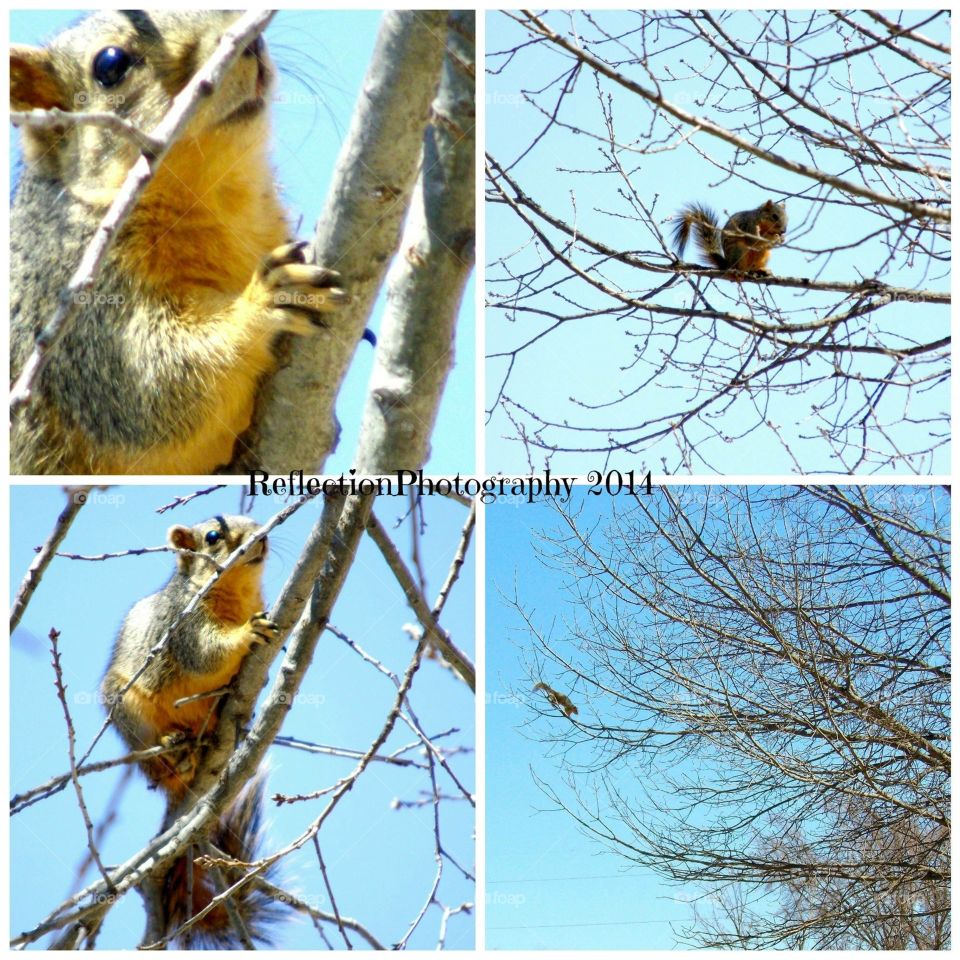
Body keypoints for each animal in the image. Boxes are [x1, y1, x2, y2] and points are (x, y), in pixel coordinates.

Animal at [10, 11, 348, 475]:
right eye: (110, 65)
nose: (250, 42)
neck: (217, 195)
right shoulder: (78, 308)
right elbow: (149, 390)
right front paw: (262, 300)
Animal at [102, 514, 280, 947]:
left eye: (255, 520)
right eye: (213, 536)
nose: (261, 536)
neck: (236, 595)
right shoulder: (183, 626)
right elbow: (206, 654)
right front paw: (246, 633)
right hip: (128, 712)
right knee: (156, 765)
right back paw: (175, 751)